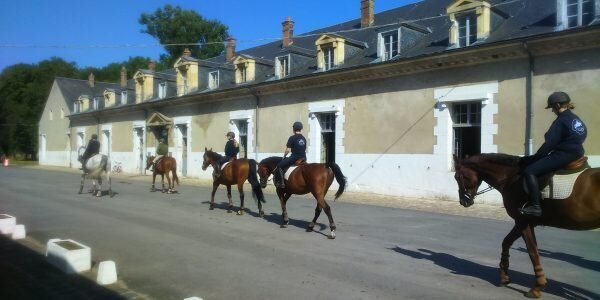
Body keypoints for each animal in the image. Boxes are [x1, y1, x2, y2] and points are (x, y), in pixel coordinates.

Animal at [454, 154, 600, 298]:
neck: (511, 177)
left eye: (458, 177)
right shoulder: (523, 222)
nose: (463, 201)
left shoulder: (522, 222)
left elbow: (532, 252)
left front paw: (537, 287)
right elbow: (506, 242)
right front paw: (504, 276)